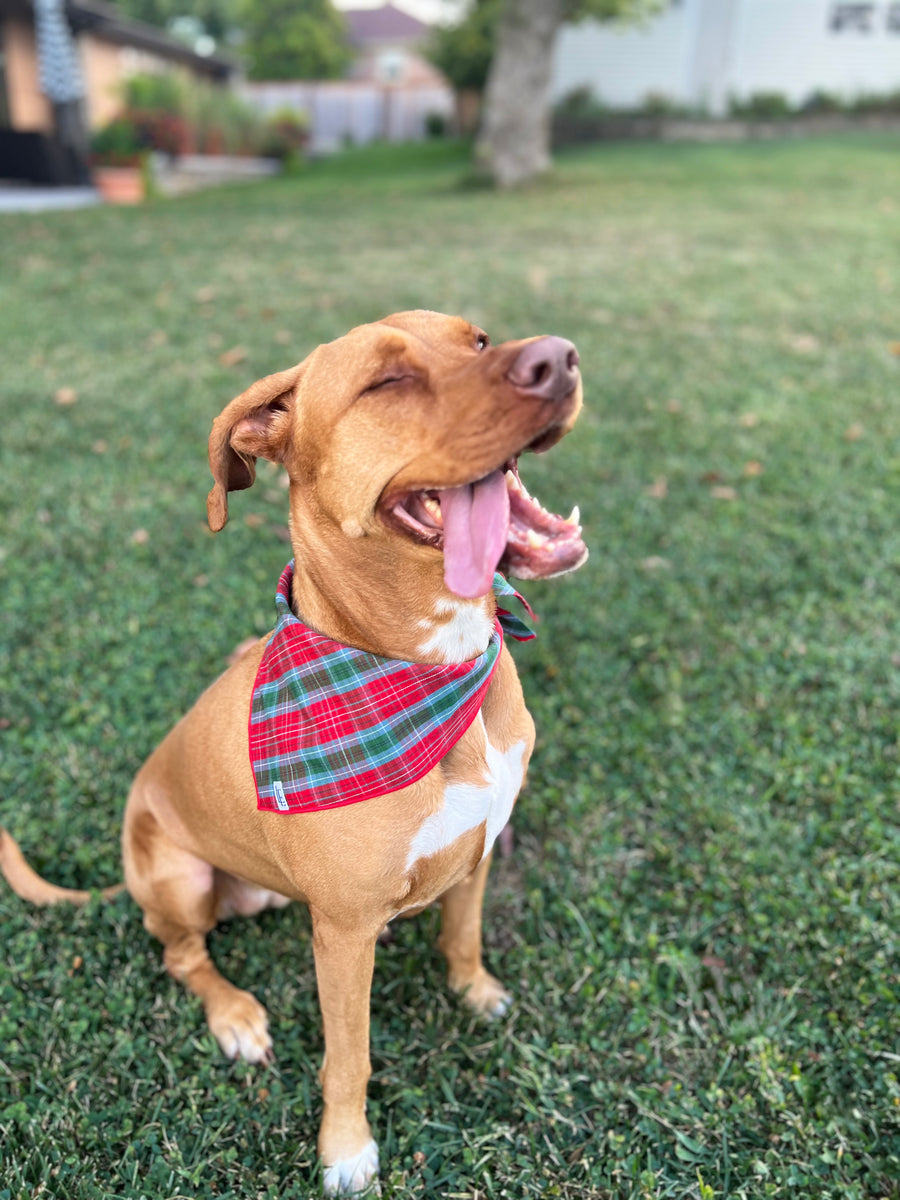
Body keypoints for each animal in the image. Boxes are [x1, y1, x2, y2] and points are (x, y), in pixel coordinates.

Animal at [0, 309, 588, 1190]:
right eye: (386, 381)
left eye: (480, 341)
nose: (560, 359)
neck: (434, 669)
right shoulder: (340, 936)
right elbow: (349, 1056)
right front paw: (346, 1151)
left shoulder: (479, 847)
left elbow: (463, 934)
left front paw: (475, 991)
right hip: (178, 877)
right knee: (181, 955)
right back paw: (235, 1015)